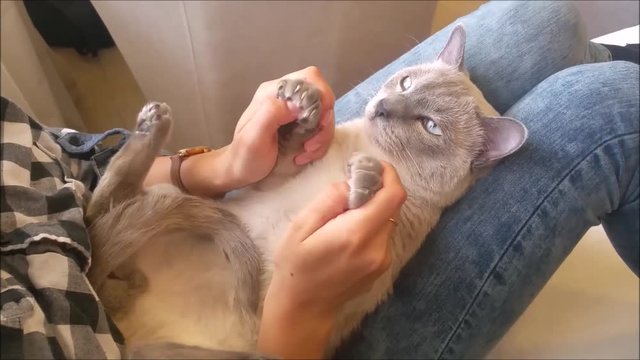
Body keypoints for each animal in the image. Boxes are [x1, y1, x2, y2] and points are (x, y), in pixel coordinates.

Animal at [85, 24, 528, 358]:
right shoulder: (272, 176)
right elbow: (291, 145)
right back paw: (151, 125)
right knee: (96, 213)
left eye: (430, 126)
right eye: (404, 82)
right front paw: (303, 99)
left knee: (100, 223)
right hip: (166, 200)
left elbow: (359, 194)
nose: (383, 107)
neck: (369, 148)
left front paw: (365, 178)